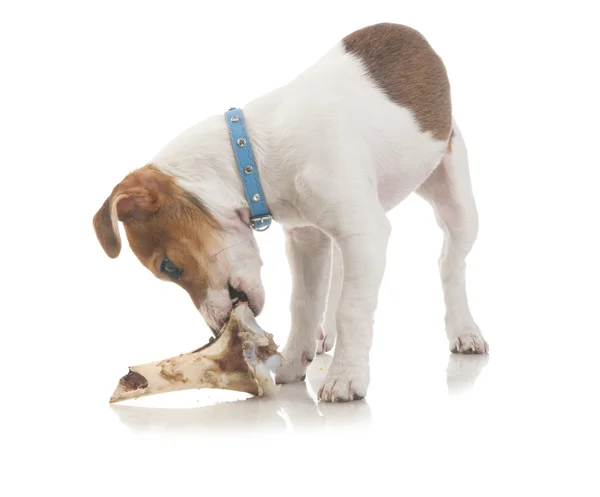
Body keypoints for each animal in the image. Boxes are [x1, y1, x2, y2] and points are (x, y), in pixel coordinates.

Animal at [92, 24, 488, 404]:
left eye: (169, 267)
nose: (215, 331)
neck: (254, 153)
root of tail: (416, 37)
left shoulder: (366, 233)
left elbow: (352, 307)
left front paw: (346, 377)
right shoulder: (306, 239)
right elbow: (304, 303)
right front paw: (295, 362)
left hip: (456, 203)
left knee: (450, 265)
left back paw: (465, 330)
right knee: (339, 275)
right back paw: (324, 337)